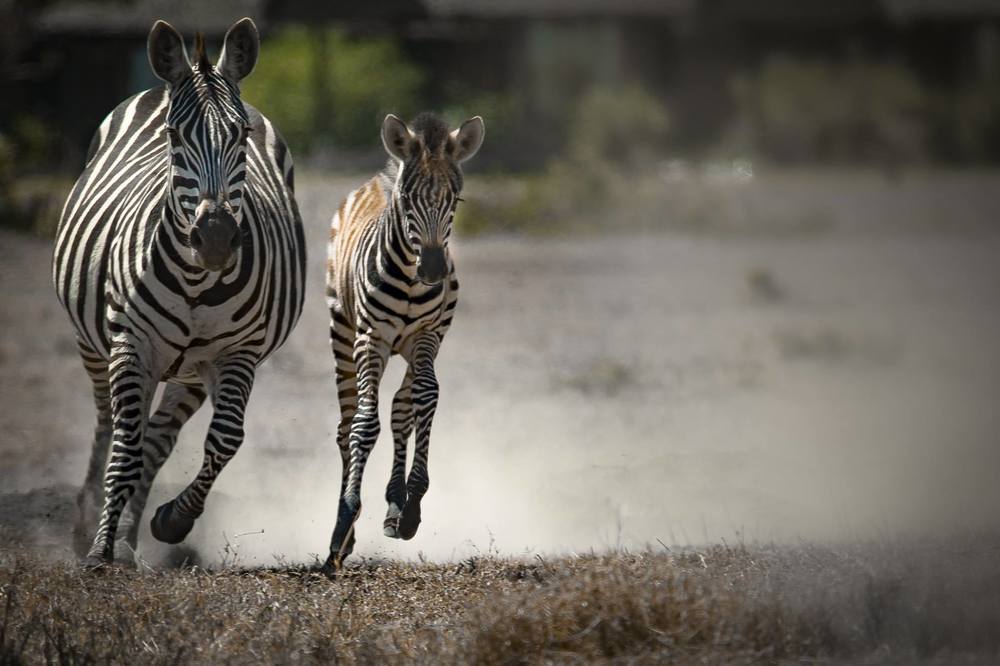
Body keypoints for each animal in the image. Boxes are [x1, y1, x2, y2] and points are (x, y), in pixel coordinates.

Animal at [51, 18, 306, 567]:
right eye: (173, 136)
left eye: (241, 134)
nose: (215, 238)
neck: (196, 281)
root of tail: (159, 84)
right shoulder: (130, 343)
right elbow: (124, 446)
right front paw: (100, 549)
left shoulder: (238, 352)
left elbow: (225, 439)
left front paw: (170, 521)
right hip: (98, 345)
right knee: (109, 426)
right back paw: (90, 527)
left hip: (188, 369)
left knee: (157, 441)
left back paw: (130, 538)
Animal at [324, 112, 484, 572]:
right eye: (408, 200)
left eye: (455, 200)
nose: (432, 270)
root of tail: (378, 179)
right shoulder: (371, 339)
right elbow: (364, 424)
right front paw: (346, 520)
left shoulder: (425, 336)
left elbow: (424, 398)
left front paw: (410, 504)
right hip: (343, 332)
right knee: (347, 424)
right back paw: (343, 530)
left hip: (420, 342)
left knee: (400, 407)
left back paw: (395, 503)